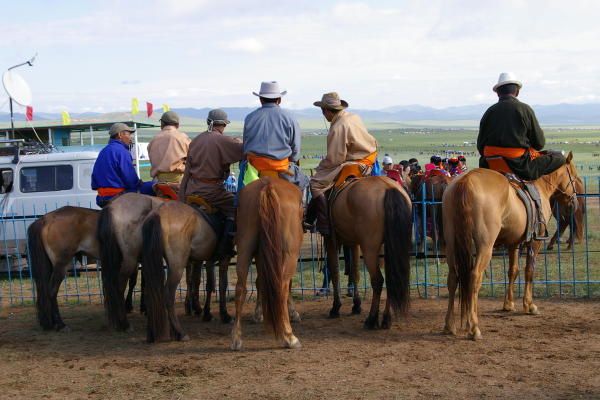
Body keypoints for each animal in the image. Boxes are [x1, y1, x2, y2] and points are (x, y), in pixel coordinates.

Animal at [142, 202, 232, 342]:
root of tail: (158, 213)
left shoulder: (206, 260)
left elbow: (206, 284)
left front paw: (206, 313)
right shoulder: (224, 259)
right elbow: (221, 285)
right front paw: (224, 315)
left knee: (151, 293)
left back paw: (152, 334)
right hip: (177, 266)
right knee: (168, 295)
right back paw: (180, 332)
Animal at [231, 177, 304, 350]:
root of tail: (268, 186)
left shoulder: (260, 254)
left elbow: (261, 282)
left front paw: (259, 313)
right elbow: (287, 285)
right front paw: (293, 313)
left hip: (245, 248)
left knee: (240, 288)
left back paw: (237, 338)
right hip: (289, 255)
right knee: (281, 287)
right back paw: (289, 337)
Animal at [324, 177, 412, 330]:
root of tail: (388, 188)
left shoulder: (330, 241)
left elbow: (334, 273)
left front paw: (335, 307)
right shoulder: (354, 243)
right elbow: (354, 273)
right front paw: (356, 305)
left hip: (369, 249)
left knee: (378, 280)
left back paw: (371, 319)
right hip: (390, 247)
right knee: (390, 278)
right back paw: (386, 319)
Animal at [440, 152, 580, 340]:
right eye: (574, 176)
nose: (574, 203)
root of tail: (465, 181)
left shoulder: (514, 243)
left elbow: (513, 271)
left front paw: (508, 304)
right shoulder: (534, 242)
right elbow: (529, 271)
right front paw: (529, 305)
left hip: (452, 244)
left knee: (453, 278)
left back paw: (449, 325)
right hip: (485, 246)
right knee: (474, 278)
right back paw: (474, 327)